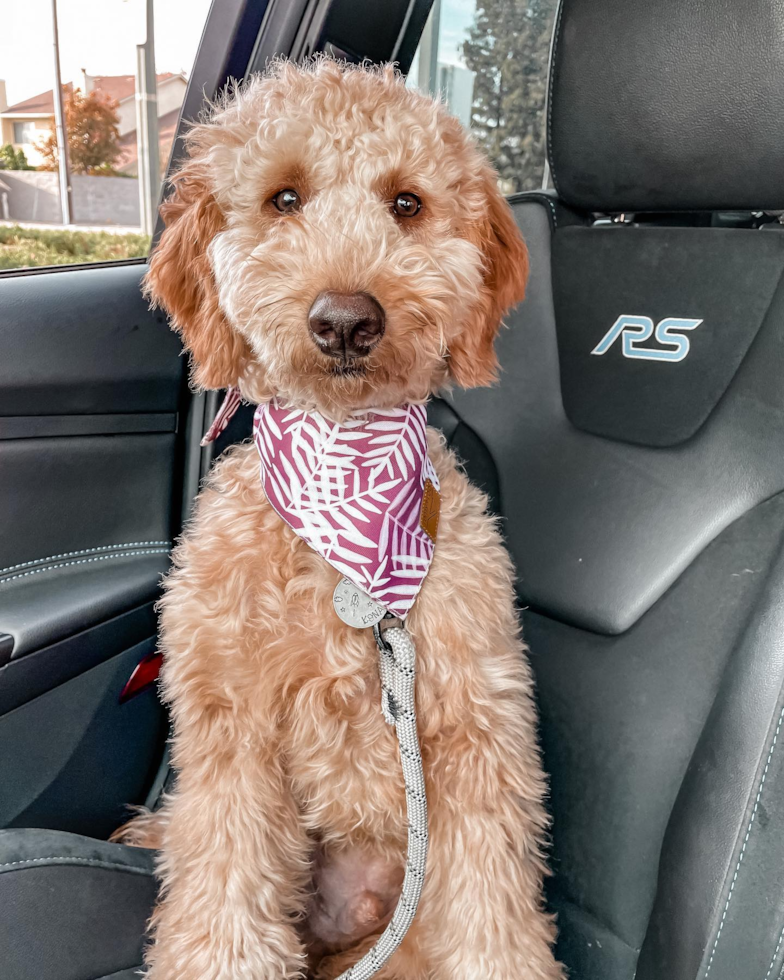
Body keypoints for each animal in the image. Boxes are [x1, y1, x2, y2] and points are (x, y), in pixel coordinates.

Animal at [118, 61, 564, 980]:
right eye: (284, 198)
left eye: (407, 203)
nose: (347, 319)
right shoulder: (231, 732)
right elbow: (222, 892)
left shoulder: (477, 733)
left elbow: (494, 920)